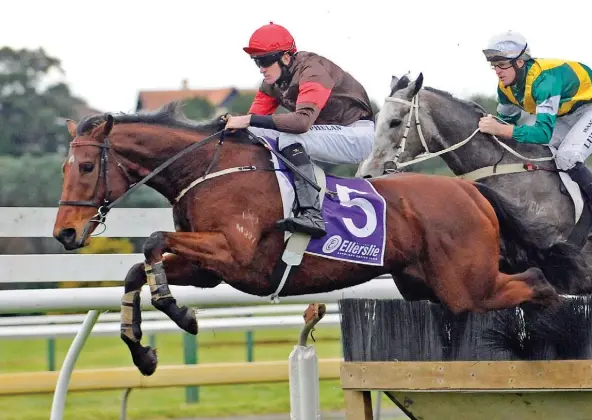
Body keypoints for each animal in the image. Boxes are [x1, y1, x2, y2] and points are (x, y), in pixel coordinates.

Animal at [53, 103, 580, 376]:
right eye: (65, 167)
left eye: (86, 166)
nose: (65, 233)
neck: (209, 170)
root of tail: (472, 190)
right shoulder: (210, 270)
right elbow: (136, 268)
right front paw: (142, 350)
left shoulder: (236, 255)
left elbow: (152, 241)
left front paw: (180, 314)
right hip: (429, 284)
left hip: (467, 284)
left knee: (538, 280)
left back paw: (551, 336)